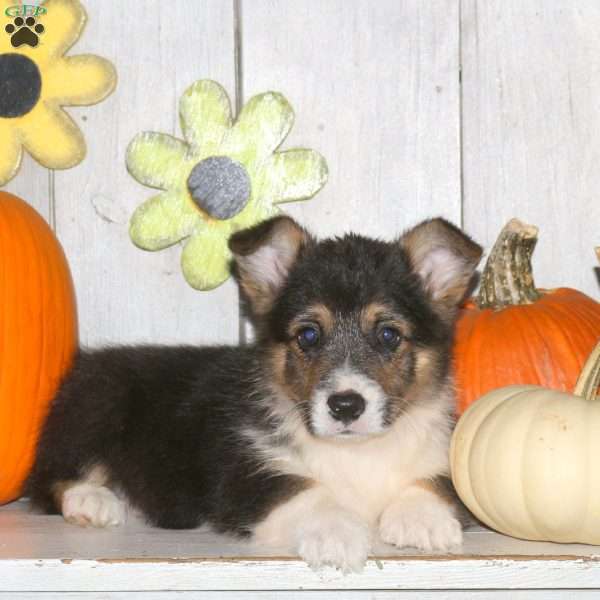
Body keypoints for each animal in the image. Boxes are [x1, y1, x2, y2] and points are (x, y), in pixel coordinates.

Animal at [29, 216, 482, 572]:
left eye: (388, 335)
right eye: (309, 335)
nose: (345, 406)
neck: (357, 452)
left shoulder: (447, 459)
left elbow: (435, 483)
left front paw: (421, 520)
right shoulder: (245, 475)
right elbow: (304, 491)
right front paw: (338, 533)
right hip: (97, 404)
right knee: (50, 478)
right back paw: (93, 501)